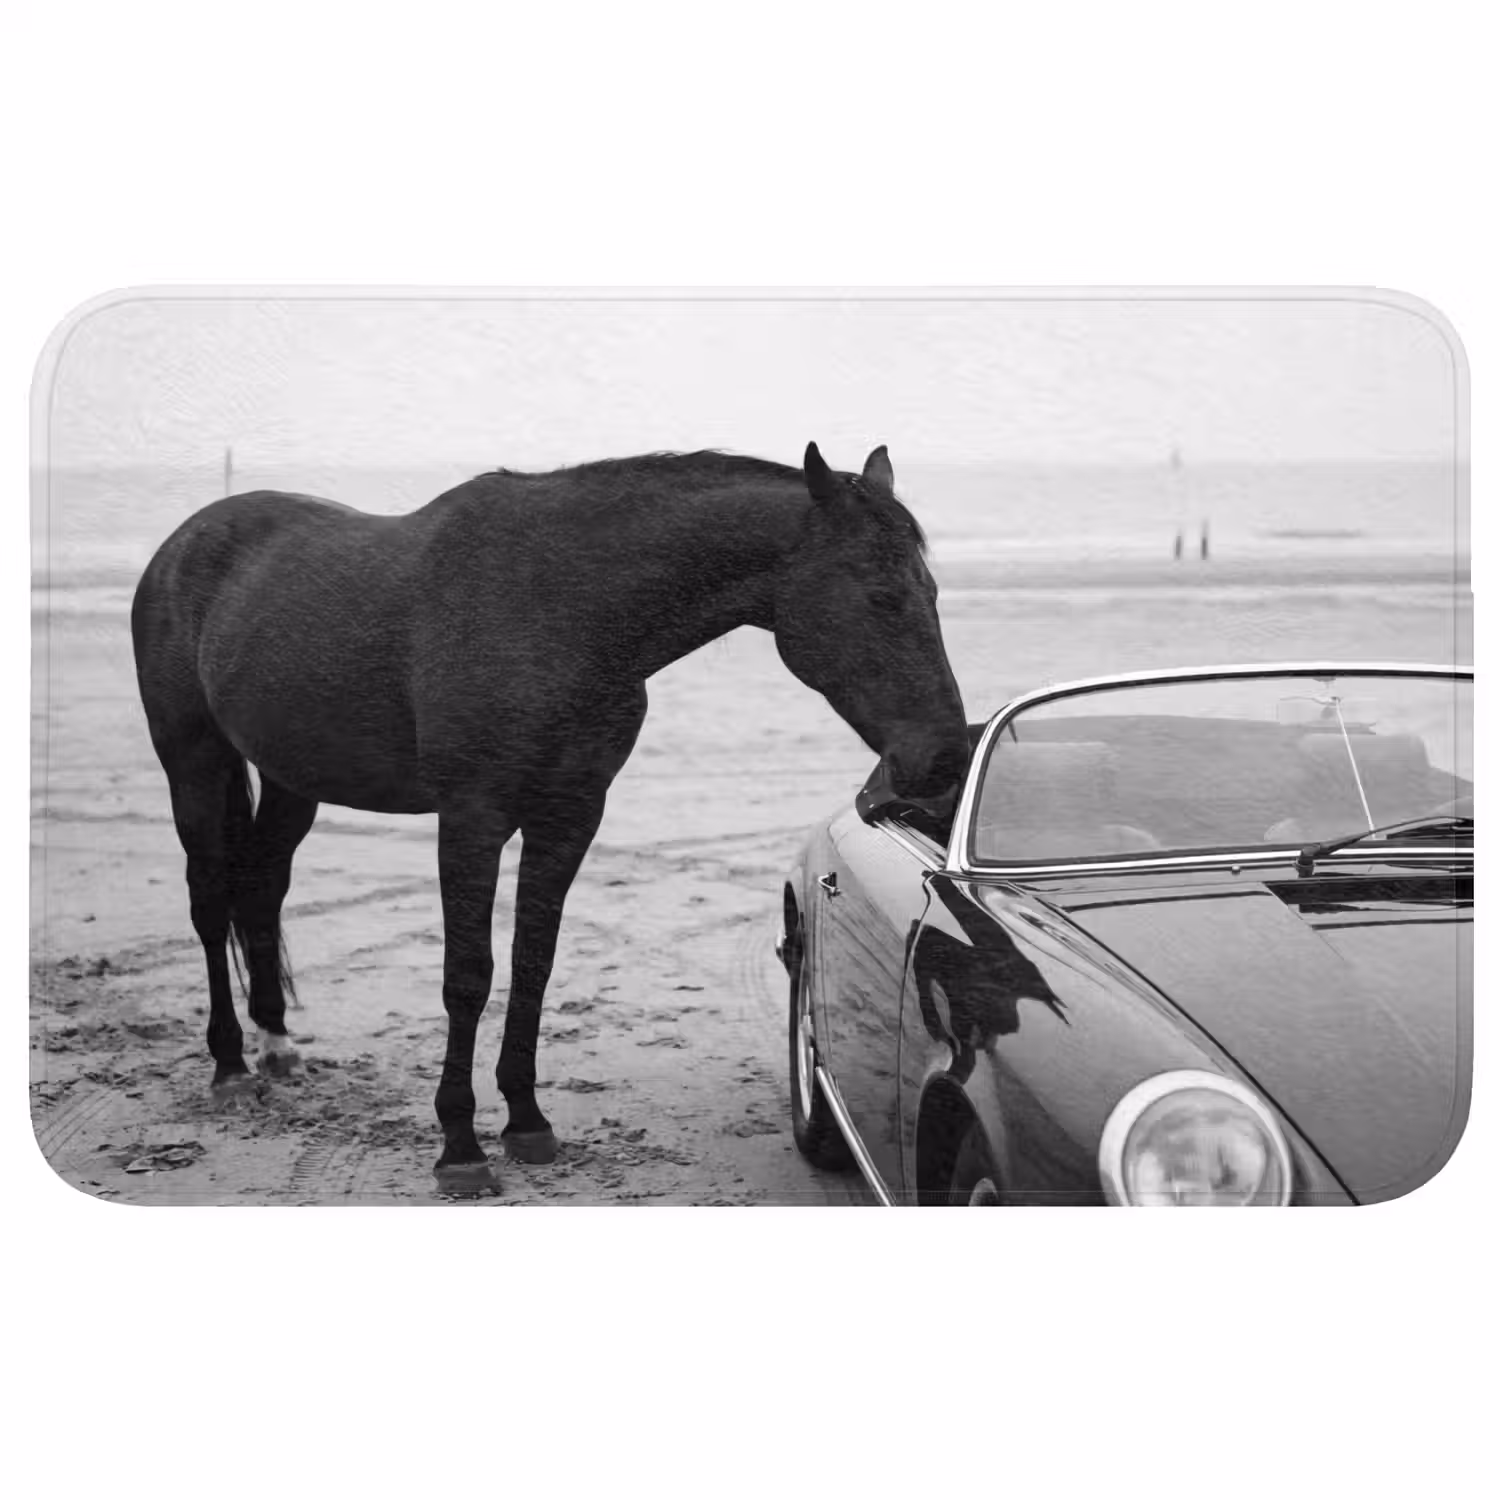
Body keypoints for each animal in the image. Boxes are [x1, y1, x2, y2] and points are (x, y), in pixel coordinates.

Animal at [131, 442, 970, 1193]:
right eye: (882, 597)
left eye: (933, 593)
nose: (944, 760)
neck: (558, 606)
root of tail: (187, 542)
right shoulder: (471, 818)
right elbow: (468, 975)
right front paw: (460, 1147)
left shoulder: (569, 817)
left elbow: (533, 962)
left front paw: (526, 1122)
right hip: (194, 763)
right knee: (210, 900)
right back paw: (230, 1066)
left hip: (289, 778)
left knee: (262, 888)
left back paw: (276, 1043)